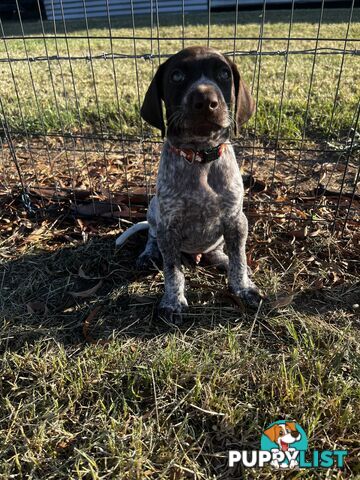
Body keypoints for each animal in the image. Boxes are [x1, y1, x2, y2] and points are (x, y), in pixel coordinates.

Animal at [116, 46, 262, 322]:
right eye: (176, 76)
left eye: (224, 74)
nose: (205, 101)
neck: (199, 157)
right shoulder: (169, 227)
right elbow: (172, 271)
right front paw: (173, 302)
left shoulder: (237, 220)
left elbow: (239, 260)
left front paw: (243, 287)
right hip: (154, 209)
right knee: (152, 236)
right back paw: (148, 254)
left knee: (219, 250)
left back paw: (221, 258)